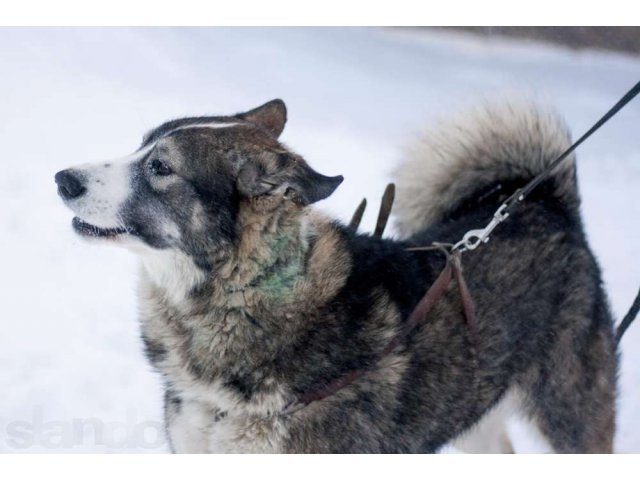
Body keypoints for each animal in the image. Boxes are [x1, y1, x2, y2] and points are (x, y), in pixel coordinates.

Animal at [56, 99, 620, 452]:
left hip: (569, 420)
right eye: (139, 149)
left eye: (161, 168)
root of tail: (546, 206)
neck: (241, 296)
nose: (63, 178)